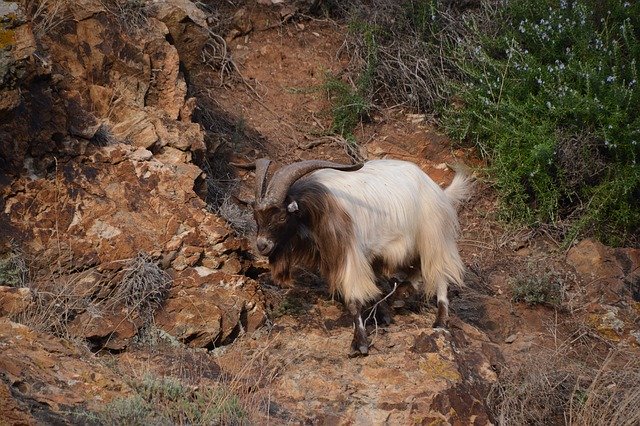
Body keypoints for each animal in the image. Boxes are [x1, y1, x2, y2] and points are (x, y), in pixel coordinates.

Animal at [250, 158, 470, 354]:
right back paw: (399, 297)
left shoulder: (350, 255)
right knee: (415, 271)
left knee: (439, 274)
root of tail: (437, 190)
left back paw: (440, 321)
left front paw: (360, 343)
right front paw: (383, 314)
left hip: (433, 236)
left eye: (280, 216)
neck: (320, 204)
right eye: (256, 216)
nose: (262, 245)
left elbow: (354, 300)